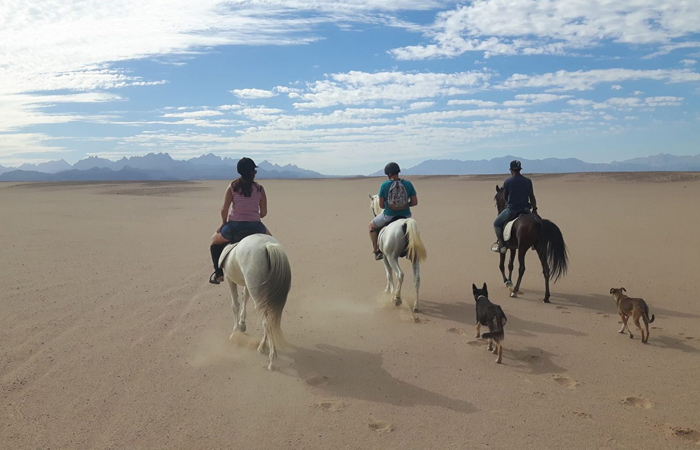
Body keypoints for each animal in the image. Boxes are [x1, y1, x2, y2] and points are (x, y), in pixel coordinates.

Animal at [221, 232, 292, 370]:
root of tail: (268, 245)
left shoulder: (229, 279)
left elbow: (235, 305)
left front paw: (235, 333)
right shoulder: (247, 285)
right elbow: (245, 297)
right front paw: (242, 324)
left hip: (257, 291)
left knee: (266, 321)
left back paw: (272, 360)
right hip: (264, 292)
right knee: (268, 317)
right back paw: (262, 346)